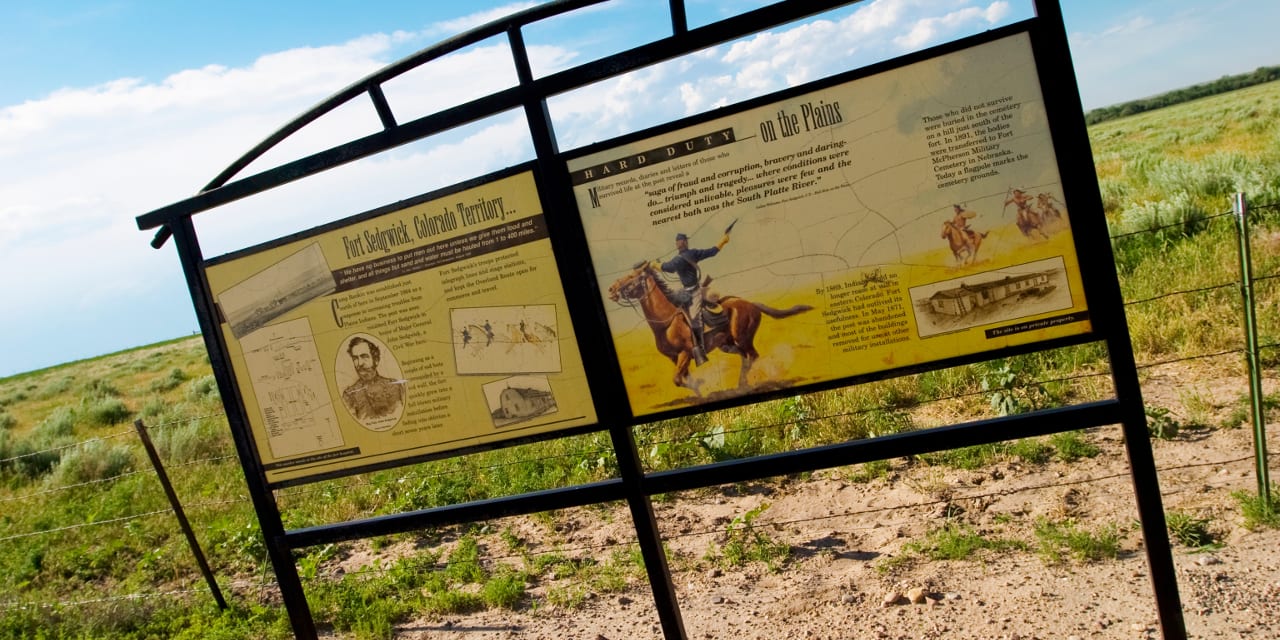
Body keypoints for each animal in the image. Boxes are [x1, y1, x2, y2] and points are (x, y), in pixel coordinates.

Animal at [606, 261, 808, 394]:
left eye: (631, 277)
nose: (611, 290)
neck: (666, 322)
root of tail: (751, 304)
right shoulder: (674, 358)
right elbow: (683, 378)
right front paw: (699, 390)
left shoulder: (686, 353)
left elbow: (678, 379)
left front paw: (700, 385)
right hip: (727, 344)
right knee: (745, 358)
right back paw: (742, 386)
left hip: (743, 339)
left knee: (752, 356)